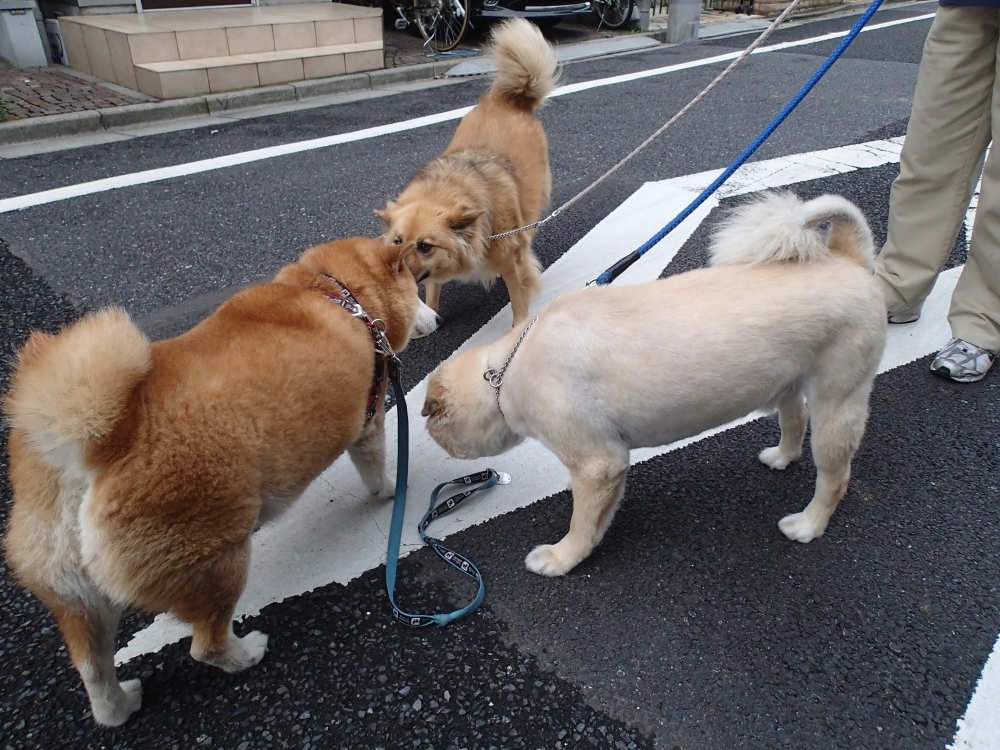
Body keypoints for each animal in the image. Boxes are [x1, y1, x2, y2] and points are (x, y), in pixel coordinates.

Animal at [2, 236, 438, 728]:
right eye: (418, 290)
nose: (438, 319)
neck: (338, 294)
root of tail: (90, 449)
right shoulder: (368, 420)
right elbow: (377, 468)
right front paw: (392, 490)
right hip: (218, 560)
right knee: (204, 645)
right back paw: (245, 653)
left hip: (77, 597)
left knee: (93, 669)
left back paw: (120, 705)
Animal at [376, 19, 560, 326]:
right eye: (397, 242)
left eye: (425, 246)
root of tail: (507, 98)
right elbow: (433, 288)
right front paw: (432, 313)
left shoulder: (510, 259)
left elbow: (518, 297)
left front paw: (519, 325)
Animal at [420, 195, 884, 580]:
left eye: (435, 431)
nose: (441, 449)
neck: (504, 373)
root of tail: (849, 260)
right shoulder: (602, 464)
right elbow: (594, 511)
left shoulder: (600, 463)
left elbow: (583, 524)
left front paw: (562, 558)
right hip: (787, 382)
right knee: (795, 417)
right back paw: (782, 457)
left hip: (838, 403)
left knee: (835, 474)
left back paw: (809, 524)